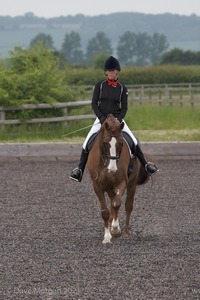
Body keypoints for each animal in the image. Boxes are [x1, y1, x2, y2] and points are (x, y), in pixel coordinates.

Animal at [86, 114, 149, 244]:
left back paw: (125, 232)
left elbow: (116, 204)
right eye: (105, 143)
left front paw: (115, 230)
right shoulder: (97, 186)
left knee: (128, 205)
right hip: (110, 187)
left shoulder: (122, 182)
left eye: (121, 143)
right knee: (112, 203)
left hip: (132, 183)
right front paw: (107, 237)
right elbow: (105, 211)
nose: (112, 169)